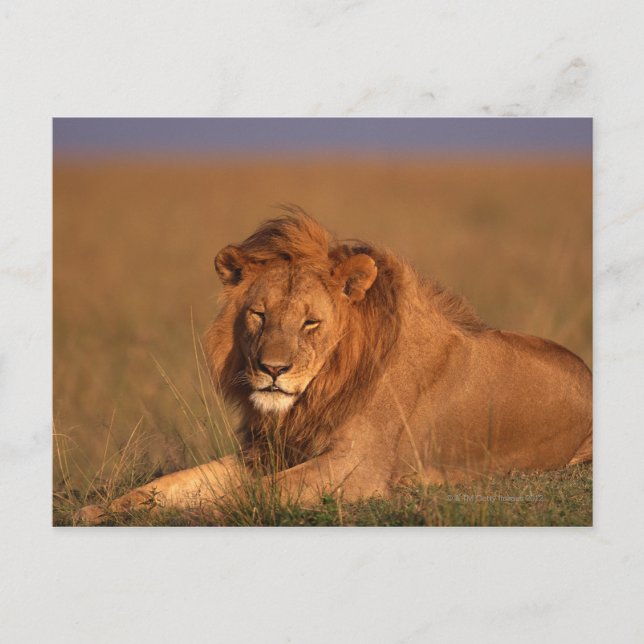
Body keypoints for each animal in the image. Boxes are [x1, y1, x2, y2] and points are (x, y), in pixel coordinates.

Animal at [78, 211, 592, 524]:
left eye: (310, 322)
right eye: (258, 314)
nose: (272, 369)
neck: (322, 389)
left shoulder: (358, 468)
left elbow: (247, 496)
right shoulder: (266, 453)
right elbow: (167, 485)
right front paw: (97, 512)